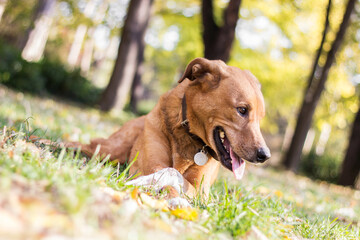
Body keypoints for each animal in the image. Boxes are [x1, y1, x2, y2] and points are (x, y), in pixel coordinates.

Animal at [76, 58, 270, 199]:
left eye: (261, 117)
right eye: (242, 110)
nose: (265, 155)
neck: (189, 135)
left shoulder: (200, 189)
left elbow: (174, 176)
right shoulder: (152, 165)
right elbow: (169, 172)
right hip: (111, 149)